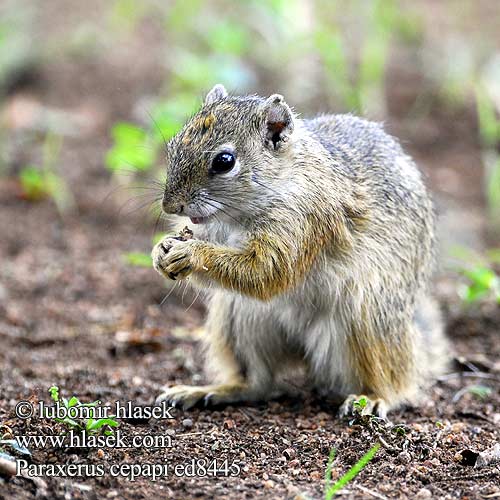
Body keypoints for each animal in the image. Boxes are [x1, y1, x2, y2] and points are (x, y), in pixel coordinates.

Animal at [150, 83, 448, 418]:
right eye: (174, 143)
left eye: (224, 161)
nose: (170, 206)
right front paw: (161, 250)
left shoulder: (306, 221)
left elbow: (267, 271)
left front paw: (192, 253)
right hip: (239, 319)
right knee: (258, 384)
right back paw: (212, 390)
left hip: (367, 322)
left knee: (395, 380)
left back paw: (373, 398)